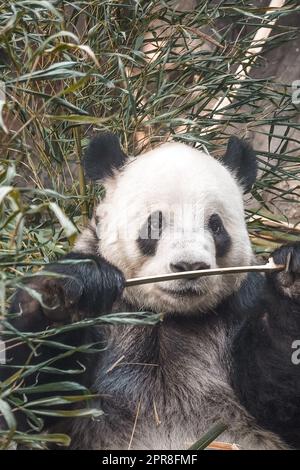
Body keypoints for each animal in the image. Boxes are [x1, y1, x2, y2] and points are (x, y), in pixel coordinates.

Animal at [3, 134, 300, 450]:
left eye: (216, 225)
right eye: (155, 224)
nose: (189, 266)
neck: (166, 317)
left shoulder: (239, 305)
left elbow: (279, 400)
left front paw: (291, 275)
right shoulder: (114, 315)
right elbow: (28, 398)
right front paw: (63, 295)